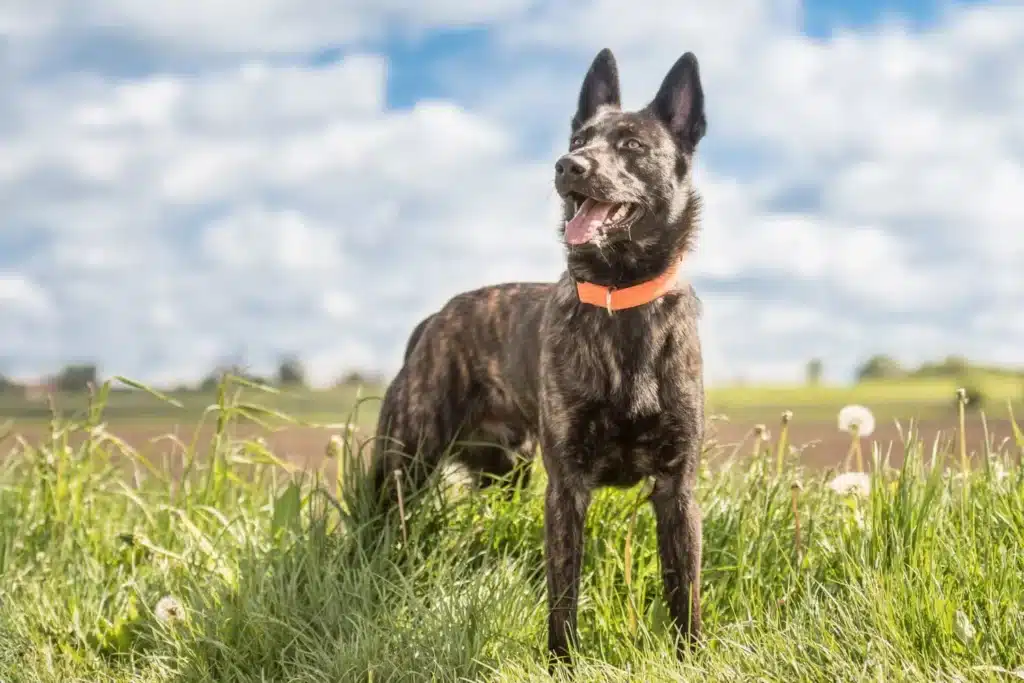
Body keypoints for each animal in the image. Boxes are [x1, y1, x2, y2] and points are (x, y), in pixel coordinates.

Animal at [370, 49, 712, 671]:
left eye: (631, 144)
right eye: (578, 138)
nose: (567, 166)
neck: (620, 298)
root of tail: (433, 321)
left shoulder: (678, 489)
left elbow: (684, 590)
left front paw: (691, 659)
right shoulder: (567, 488)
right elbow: (563, 591)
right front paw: (562, 664)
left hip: (506, 471)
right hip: (404, 462)